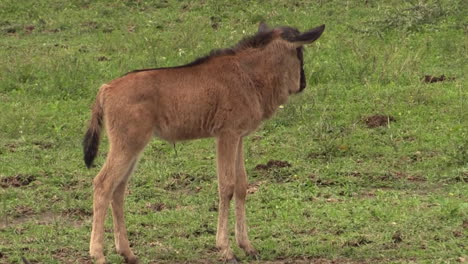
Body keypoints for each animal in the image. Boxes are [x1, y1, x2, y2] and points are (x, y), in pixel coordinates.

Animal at [83, 21, 326, 262]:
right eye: (299, 52)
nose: (303, 83)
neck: (247, 73)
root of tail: (106, 89)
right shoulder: (226, 135)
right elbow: (226, 186)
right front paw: (226, 249)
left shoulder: (238, 137)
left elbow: (242, 185)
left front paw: (247, 246)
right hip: (126, 145)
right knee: (103, 184)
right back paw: (98, 254)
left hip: (133, 147)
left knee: (119, 188)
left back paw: (127, 252)